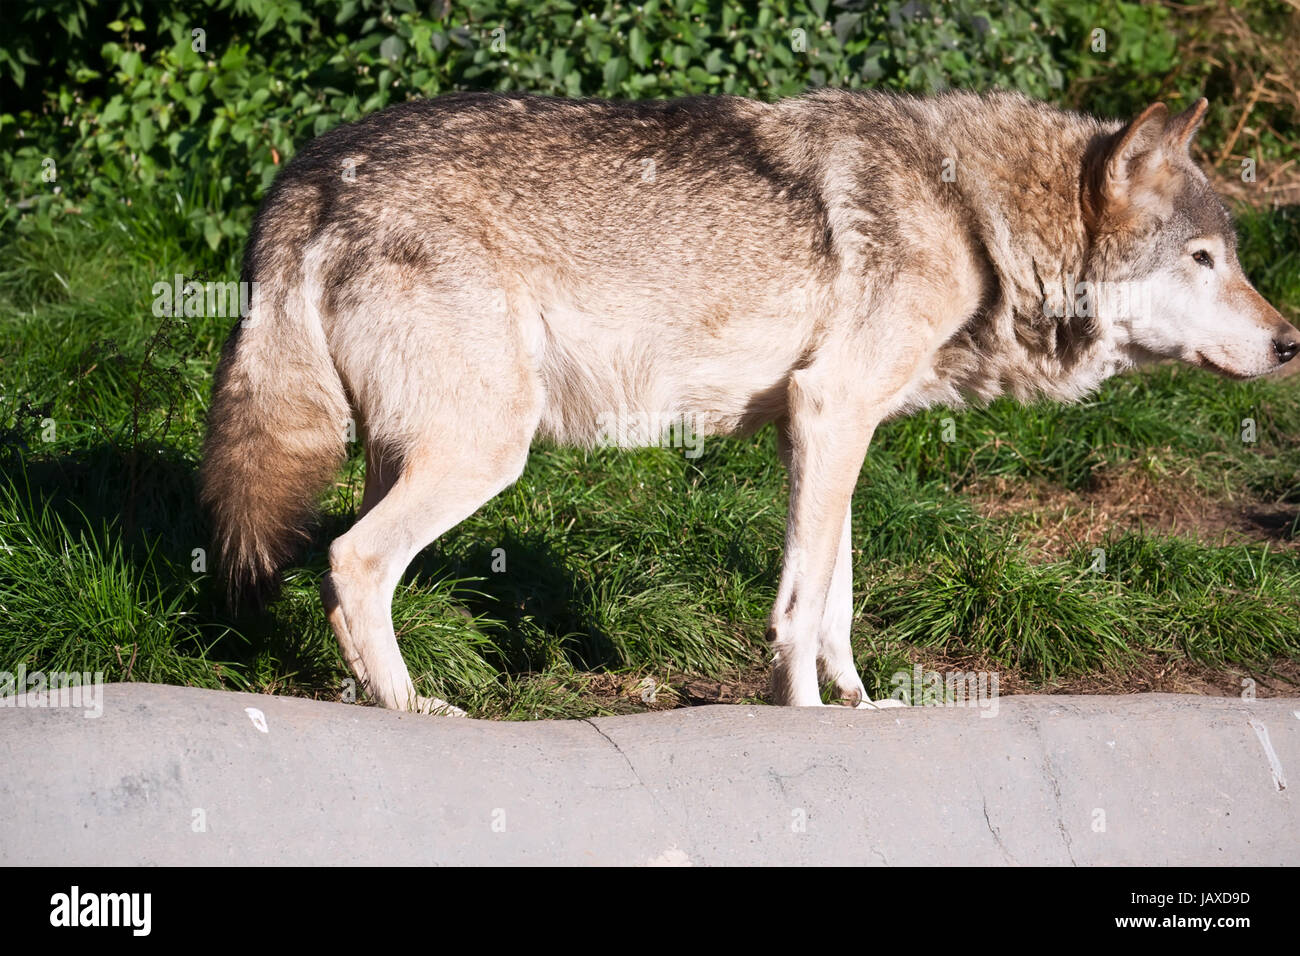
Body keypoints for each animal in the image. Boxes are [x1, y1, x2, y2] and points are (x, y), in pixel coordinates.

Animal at [200, 90, 1298, 715]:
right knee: (352, 561)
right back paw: (412, 710)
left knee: (348, 565)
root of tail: (307, 173)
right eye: (1203, 260)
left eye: (1233, 257)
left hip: (407, 447)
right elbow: (800, 604)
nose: (1292, 342)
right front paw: (800, 714)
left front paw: (861, 707)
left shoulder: (823, 429)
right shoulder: (830, 408)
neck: (973, 216)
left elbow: (838, 597)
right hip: (484, 451)